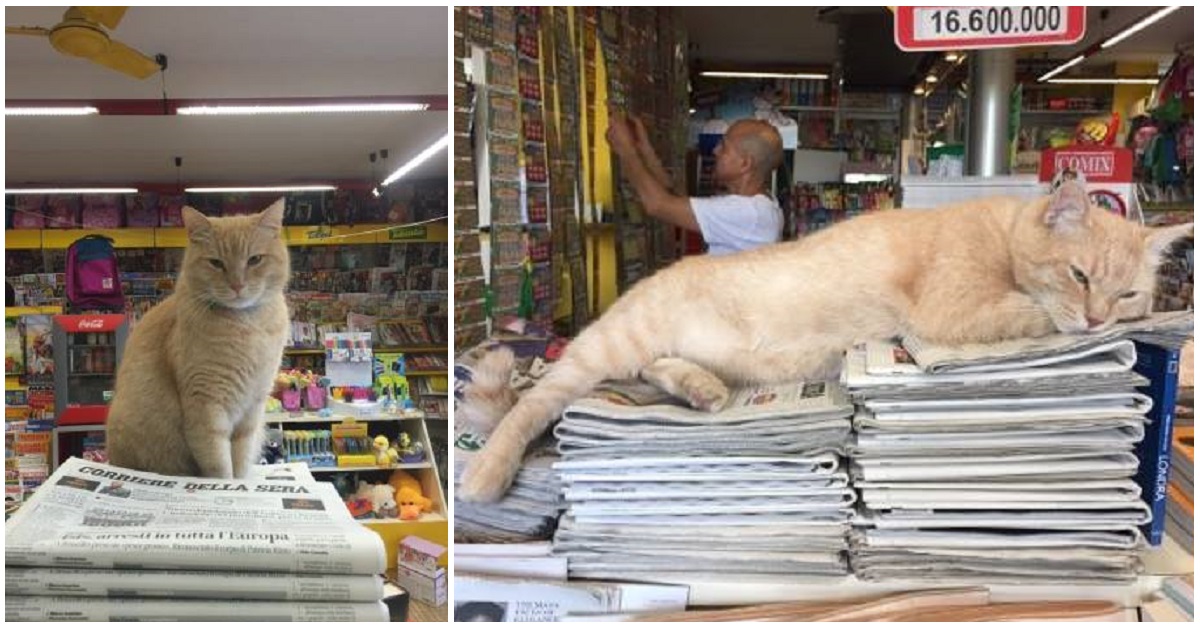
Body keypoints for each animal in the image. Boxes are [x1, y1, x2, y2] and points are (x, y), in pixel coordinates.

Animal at [109, 199, 292, 480]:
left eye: (255, 260)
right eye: (216, 263)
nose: (237, 285)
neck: (245, 326)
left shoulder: (252, 408)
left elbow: (241, 459)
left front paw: (243, 486)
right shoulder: (206, 405)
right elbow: (219, 464)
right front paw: (224, 487)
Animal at [456, 178, 1190, 504]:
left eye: (1127, 294)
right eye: (1079, 276)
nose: (1098, 321)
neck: (1003, 234)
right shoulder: (949, 316)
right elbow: (1032, 314)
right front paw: (1062, 319)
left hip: (656, 361)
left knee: (655, 372)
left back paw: (702, 389)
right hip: (607, 348)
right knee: (535, 402)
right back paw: (487, 470)